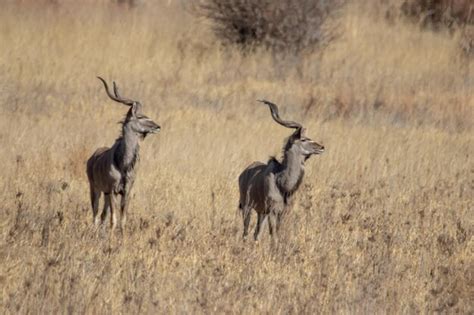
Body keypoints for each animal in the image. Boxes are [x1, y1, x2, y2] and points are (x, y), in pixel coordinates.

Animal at [88, 78, 162, 232]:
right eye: (140, 116)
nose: (158, 127)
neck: (123, 163)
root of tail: (91, 159)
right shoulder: (113, 190)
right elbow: (113, 220)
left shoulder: (126, 191)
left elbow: (122, 220)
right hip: (95, 190)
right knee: (96, 215)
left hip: (105, 194)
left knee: (102, 215)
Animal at [239, 100, 324, 241]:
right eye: (303, 139)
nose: (322, 147)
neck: (281, 181)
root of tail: (243, 173)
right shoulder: (273, 211)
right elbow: (274, 236)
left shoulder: (281, 212)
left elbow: (276, 234)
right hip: (247, 207)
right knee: (245, 232)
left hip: (261, 212)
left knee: (256, 234)